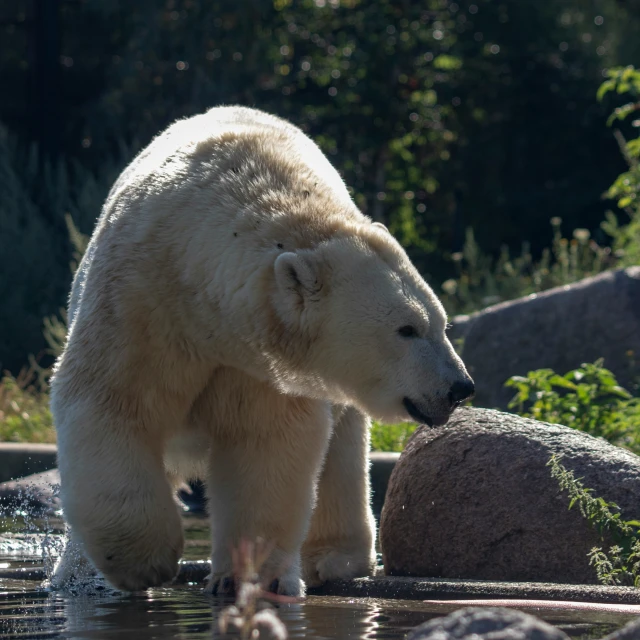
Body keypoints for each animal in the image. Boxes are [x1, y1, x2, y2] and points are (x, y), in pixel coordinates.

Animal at [50, 106, 472, 596]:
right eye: (408, 329)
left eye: (441, 322)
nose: (459, 387)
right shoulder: (138, 304)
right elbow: (112, 401)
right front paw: (144, 560)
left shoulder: (260, 363)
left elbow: (264, 441)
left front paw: (251, 576)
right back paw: (71, 573)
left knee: (343, 452)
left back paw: (336, 559)